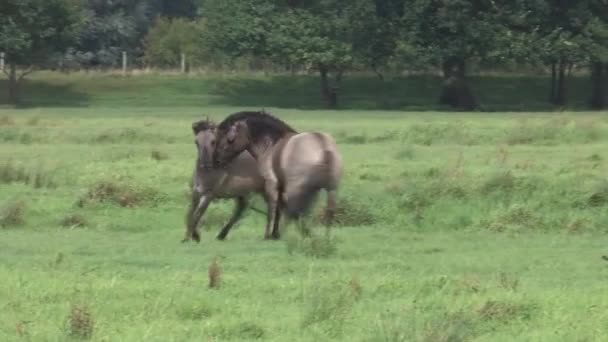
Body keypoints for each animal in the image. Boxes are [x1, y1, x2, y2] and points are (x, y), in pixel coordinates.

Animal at [213, 111, 342, 239]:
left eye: (229, 139)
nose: (217, 160)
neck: (271, 146)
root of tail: (322, 146)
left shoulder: (272, 185)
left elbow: (272, 210)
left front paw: (269, 235)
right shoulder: (281, 187)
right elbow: (279, 210)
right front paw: (275, 233)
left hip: (298, 188)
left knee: (294, 211)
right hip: (330, 189)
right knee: (327, 211)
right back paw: (324, 237)